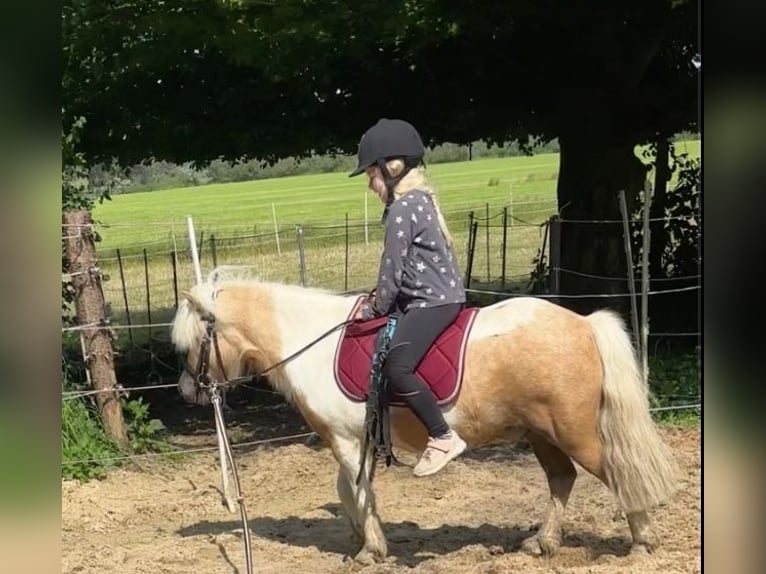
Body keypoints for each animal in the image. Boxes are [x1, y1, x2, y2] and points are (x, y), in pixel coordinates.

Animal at [171, 272, 680, 568]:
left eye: (194, 341)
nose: (187, 392)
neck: (311, 343)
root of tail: (583, 323)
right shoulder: (357, 440)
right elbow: (350, 490)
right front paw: (361, 538)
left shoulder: (346, 440)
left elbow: (358, 491)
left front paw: (369, 550)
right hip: (543, 434)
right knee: (561, 479)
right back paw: (542, 543)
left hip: (573, 433)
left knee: (616, 472)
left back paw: (641, 543)